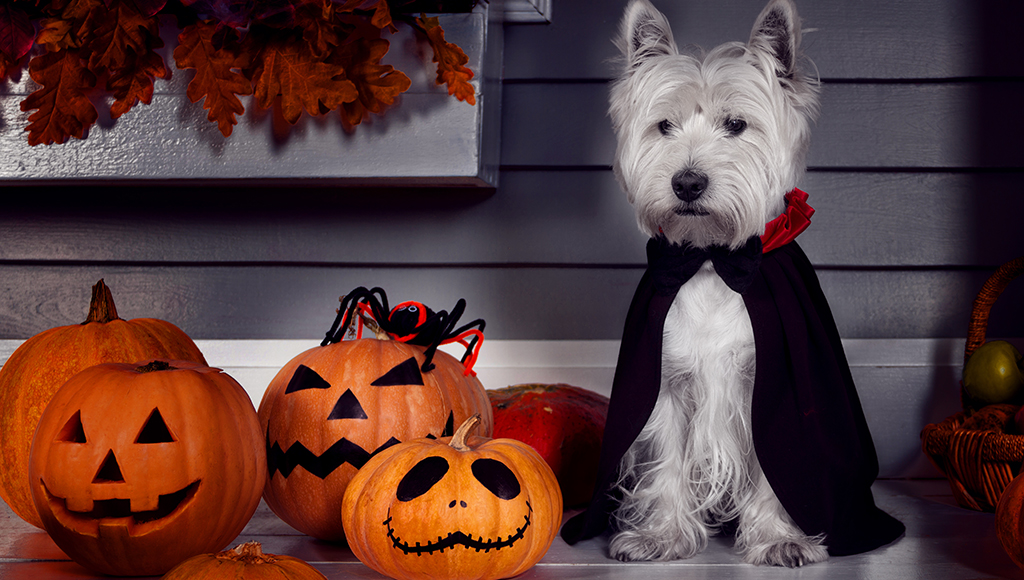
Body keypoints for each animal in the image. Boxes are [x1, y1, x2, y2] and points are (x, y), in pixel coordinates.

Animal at [561, 0, 905, 569]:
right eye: (664, 126)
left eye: (737, 125)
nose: (687, 182)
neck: (712, 261)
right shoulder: (667, 383)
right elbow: (667, 462)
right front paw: (661, 536)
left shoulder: (771, 386)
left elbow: (776, 468)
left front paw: (779, 539)